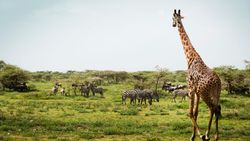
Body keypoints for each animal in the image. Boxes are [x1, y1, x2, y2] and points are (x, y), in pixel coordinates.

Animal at [172, 9, 221, 140]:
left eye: (172, 18)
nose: (173, 24)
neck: (190, 57)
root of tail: (217, 82)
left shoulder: (190, 88)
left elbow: (190, 112)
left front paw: (197, 135)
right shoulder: (197, 92)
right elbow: (196, 112)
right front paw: (194, 135)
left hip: (205, 94)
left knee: (212, 108)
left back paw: (207, 134)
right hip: (216, 93)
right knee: (217, 108)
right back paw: (215, 136)